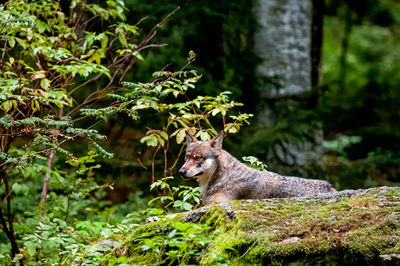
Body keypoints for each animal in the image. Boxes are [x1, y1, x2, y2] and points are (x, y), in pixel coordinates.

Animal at [178, 132, 334, 205]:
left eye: (198, 158)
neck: (223, 177)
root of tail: (330, 186)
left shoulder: (216, 203)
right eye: (187, 157)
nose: (181, 172)